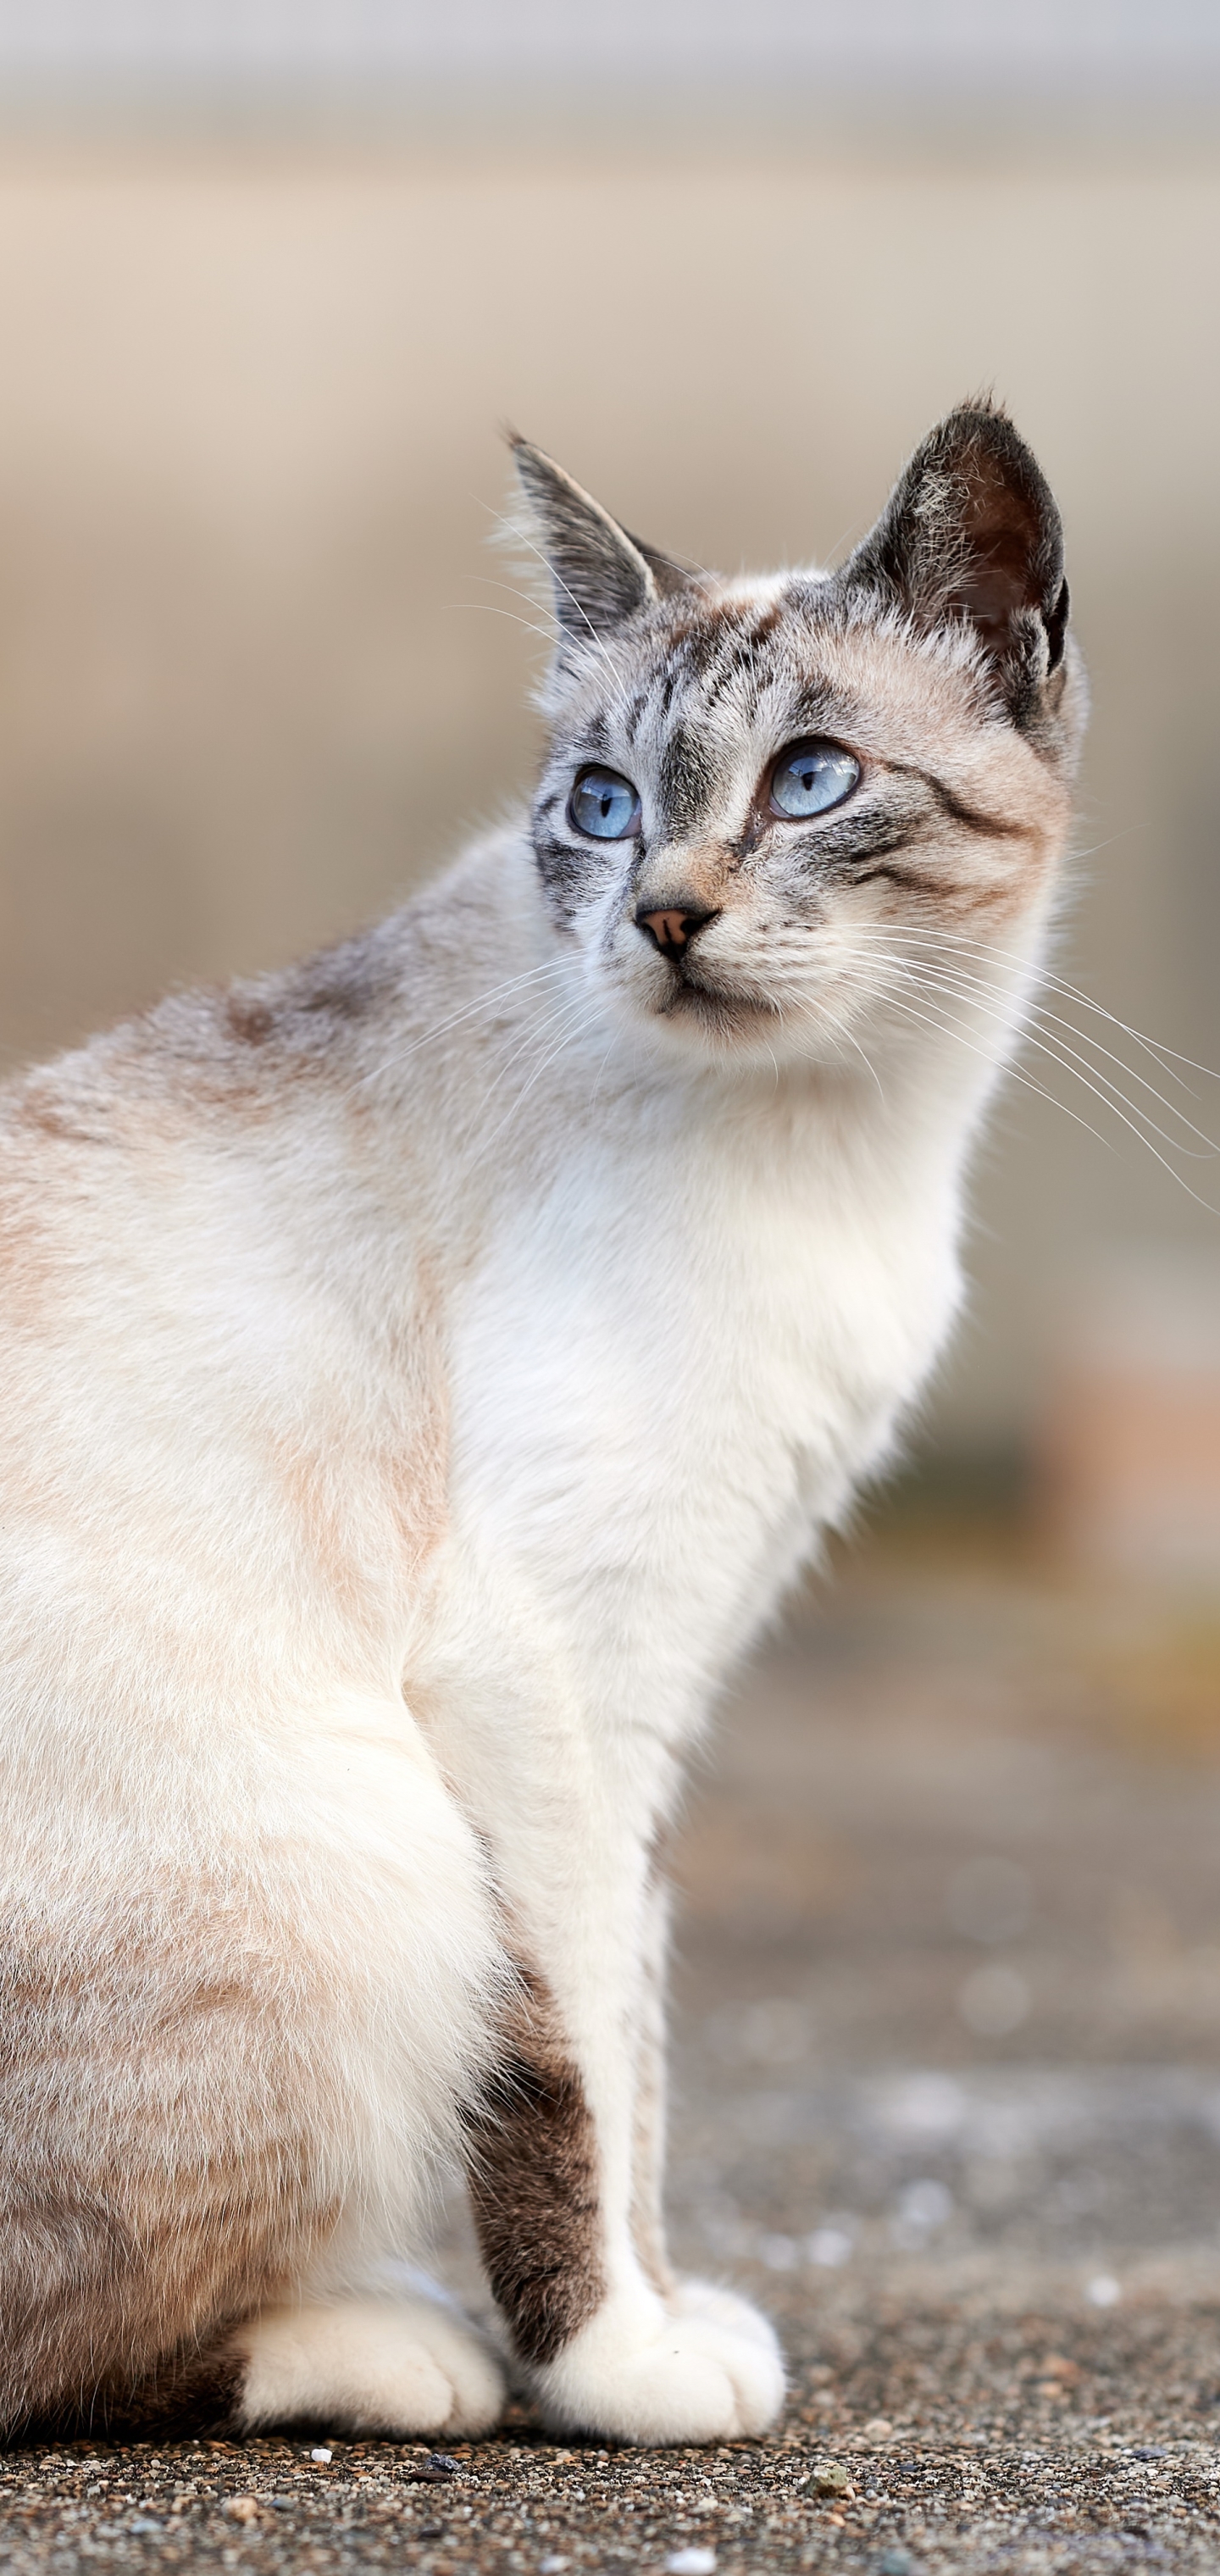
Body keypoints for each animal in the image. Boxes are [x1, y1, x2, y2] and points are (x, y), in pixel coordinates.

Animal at [0, 402, 1080, 2431]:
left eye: (811, 782)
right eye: (601, 804)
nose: (663, 915)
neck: (848, 1145)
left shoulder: (654, 1689)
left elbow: (641, 2048)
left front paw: (665, 2316)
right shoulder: (543, 1667)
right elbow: (574, 2061)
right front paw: (616, 2370)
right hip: (366, 1854)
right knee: (72, 2337)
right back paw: (385, 2342)